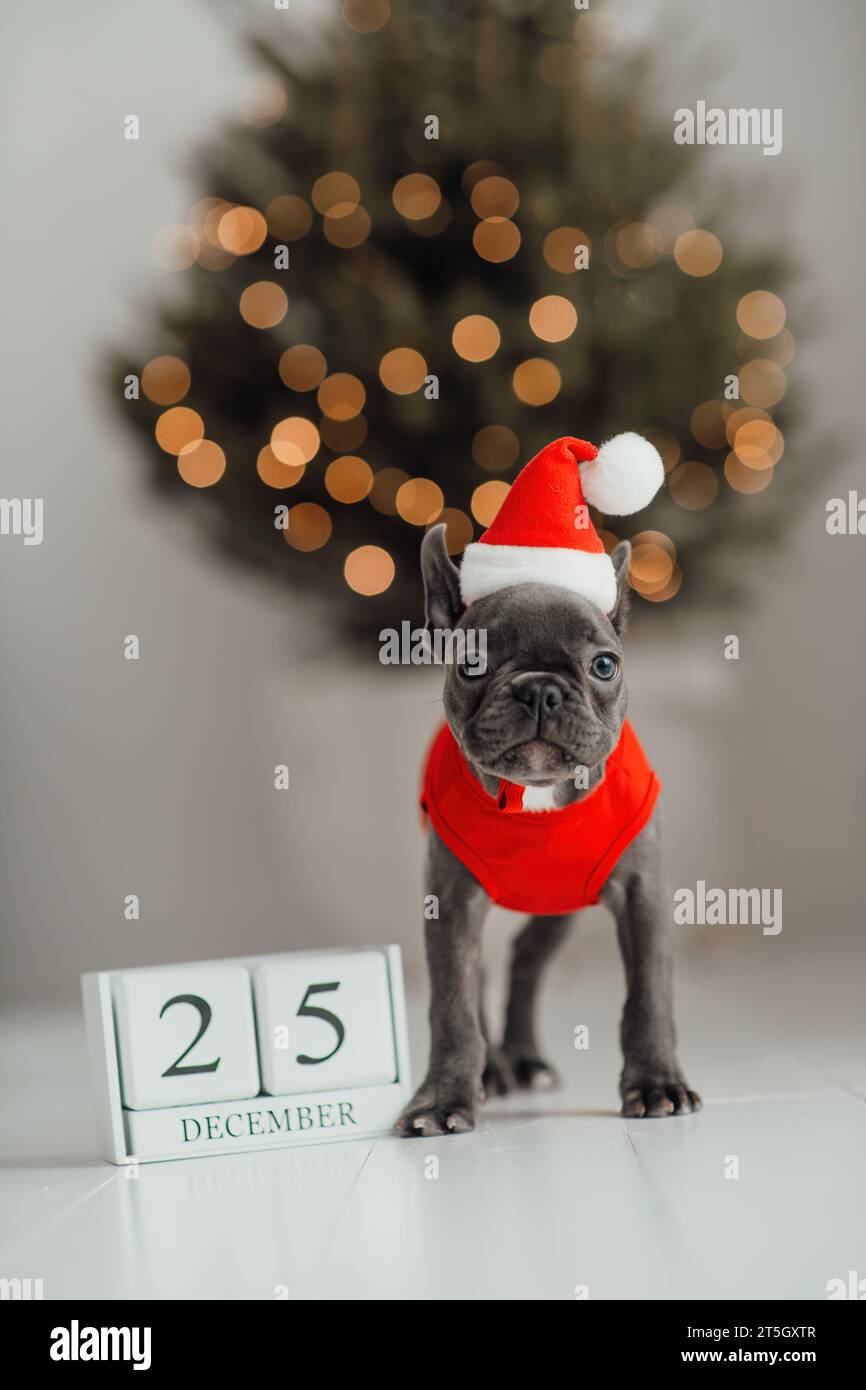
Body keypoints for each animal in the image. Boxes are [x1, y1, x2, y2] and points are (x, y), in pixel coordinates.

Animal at [397, 525, 700, 1134]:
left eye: (605, 666)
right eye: (471, 663)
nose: (538, 689)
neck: (538, 796)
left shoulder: (643, 895)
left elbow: (649, 994)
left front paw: (657, 1084)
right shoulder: (453, 904)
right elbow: (452, 1005)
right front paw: (442, 1100)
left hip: (559, 912)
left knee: (527, 962)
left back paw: (525, 1059)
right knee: (489, 975)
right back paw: (494, 1071)